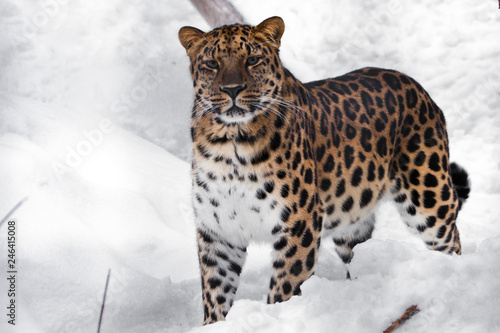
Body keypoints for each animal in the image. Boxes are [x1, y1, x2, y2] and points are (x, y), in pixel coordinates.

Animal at [178, 16, 470, 324]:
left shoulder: (300, 222)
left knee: (450, 239)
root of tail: (416, 86)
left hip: (430, 196)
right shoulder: (217, 231)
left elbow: (285, 285)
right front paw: (213, 324)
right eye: (212, 64)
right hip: (352, 219)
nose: (232, 89)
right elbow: (215, 291)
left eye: (253, 60)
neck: (229, 142)